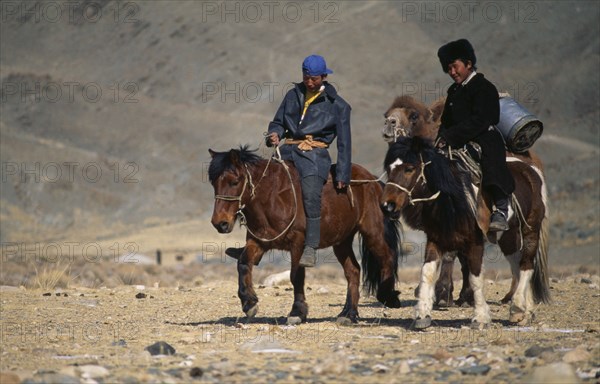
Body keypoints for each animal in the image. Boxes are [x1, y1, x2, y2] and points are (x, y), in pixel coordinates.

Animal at [209, 147, 400, 324]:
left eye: (234, 181)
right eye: (214, 183)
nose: (220, 223)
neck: (272, 198)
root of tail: (374, 181)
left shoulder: (298, 244)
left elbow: (296, 275)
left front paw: (297, 311)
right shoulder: (258, 241)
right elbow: (243, 263)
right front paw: (249, 303)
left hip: (373, 232)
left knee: (387, 258)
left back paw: (389, 297)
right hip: (342, 241)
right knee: (353, 271)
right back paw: (348, 314)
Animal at [382, 94, 548, 308]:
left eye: (413, 116)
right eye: (386, 113)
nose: (389, 123)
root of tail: (534, 168)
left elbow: (452, 254)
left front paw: (444, 294)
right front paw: (452, 295)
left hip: (526, 227)